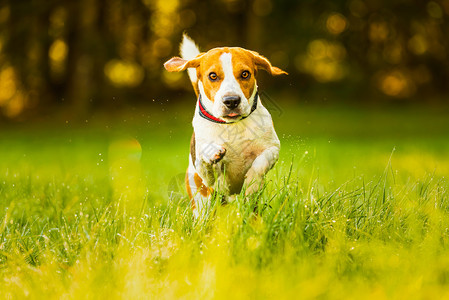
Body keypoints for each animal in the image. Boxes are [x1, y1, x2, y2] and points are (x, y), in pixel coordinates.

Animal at [164, 34, 288, 218]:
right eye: (213, 76)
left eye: (245, 74)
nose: (231, 101)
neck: (232, 125)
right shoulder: (206, 175)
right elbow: (205, 162)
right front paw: (212, 152)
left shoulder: (272, 148)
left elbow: (261, 162)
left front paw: (252, 183)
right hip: (201, 200)